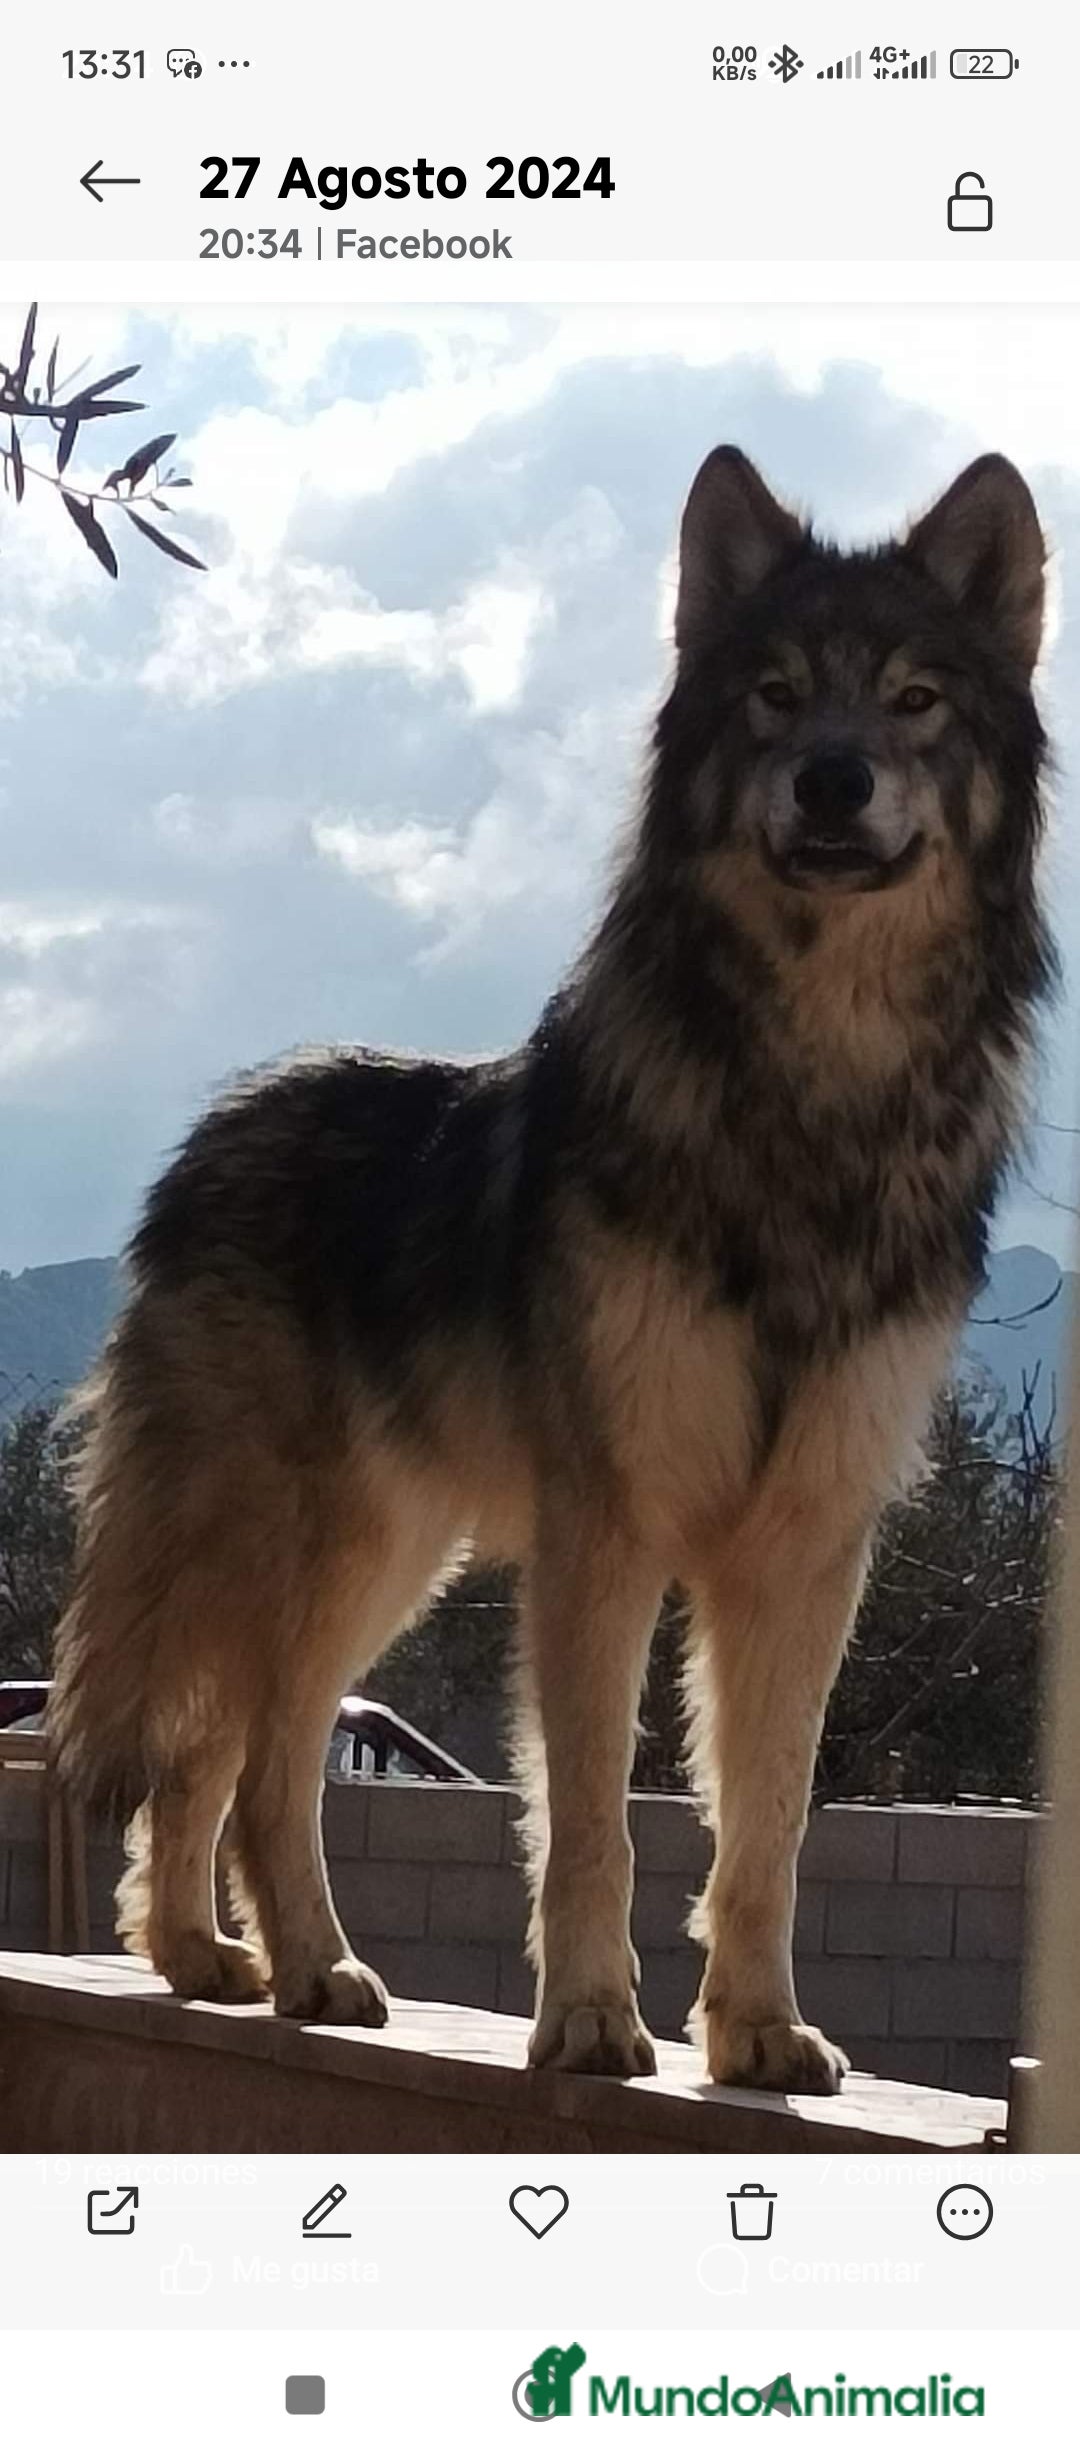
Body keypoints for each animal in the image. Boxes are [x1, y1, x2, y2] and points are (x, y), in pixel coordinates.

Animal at [49, 445, 1054, 2091]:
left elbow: (768, 1824)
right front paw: (587, 2021)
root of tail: (213, 1128)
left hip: (387, 1557)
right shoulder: (610, 1524)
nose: (831, 778)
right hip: (307, 1545)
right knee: (261, 1760)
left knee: (215, 1751)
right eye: (774, 694)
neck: (811, 1099)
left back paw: (208, 1961)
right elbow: (588, 1811)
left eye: (914, 699)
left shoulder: (808, 1544)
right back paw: (306, 1968)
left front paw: (760, 2032)